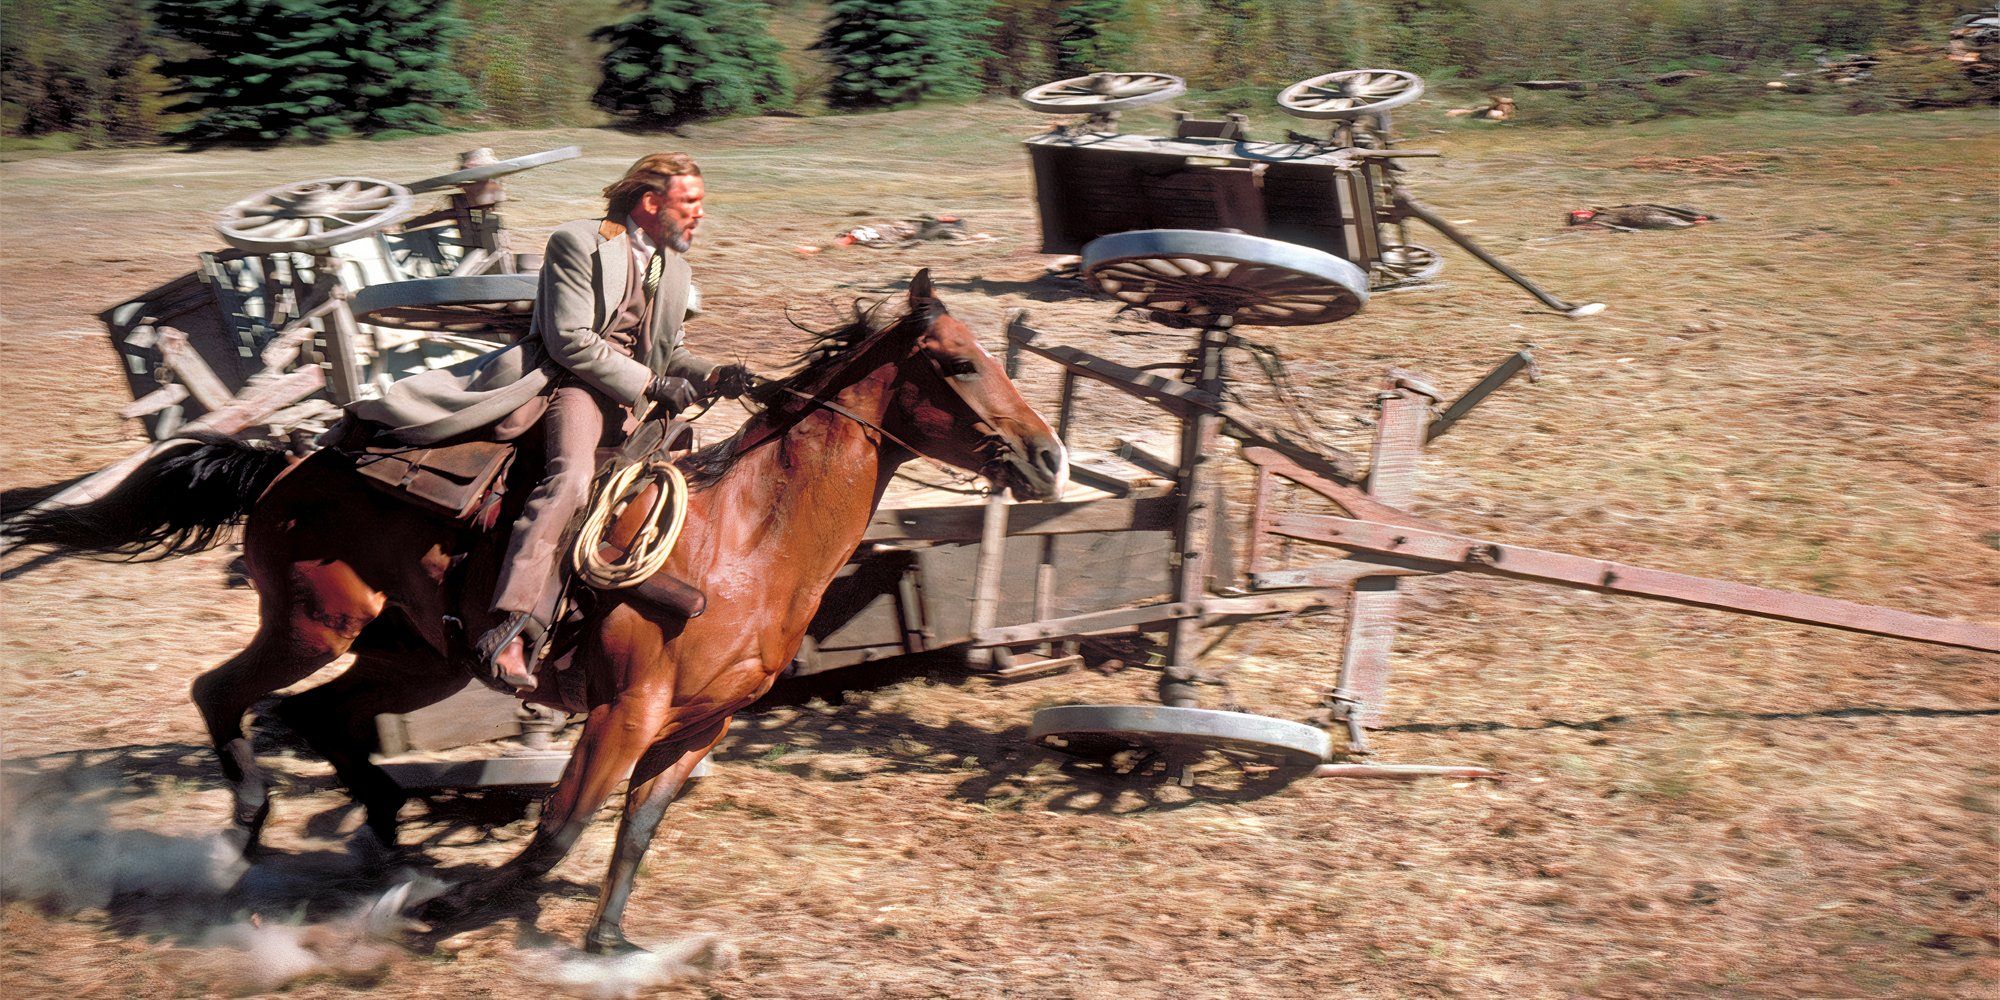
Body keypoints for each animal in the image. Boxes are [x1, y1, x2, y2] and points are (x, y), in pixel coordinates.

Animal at [7, 272, 1072, 952]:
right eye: (956, 363)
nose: (1048, 454)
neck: (745, 539)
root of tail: (287, 464)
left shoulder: (699, 726)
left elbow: (634, 832)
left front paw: (608, 940)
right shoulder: (624, 711)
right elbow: (558, 831)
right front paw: (455, 910)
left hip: (420, 654)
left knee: (329, 718)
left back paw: (388, 843)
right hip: (312, 625)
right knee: (221, 693)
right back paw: (251, 835)